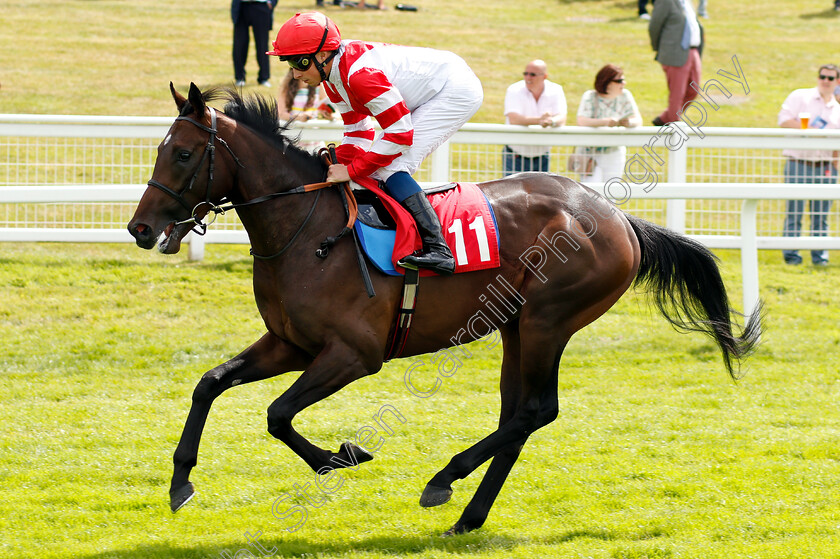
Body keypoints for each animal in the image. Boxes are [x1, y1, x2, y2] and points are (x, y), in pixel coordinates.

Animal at [124, 84, 760, 540]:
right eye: (160, 149)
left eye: (183, 153)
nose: (140, 228)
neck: (307, 232)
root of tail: (617, 217)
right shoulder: (290, 344)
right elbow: (210, 384)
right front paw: (180, 482)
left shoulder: (353, 355)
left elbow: (278, 414)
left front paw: (340, 456)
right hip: (515, 327)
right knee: (518, 417)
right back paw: (468, 515)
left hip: (548, 320)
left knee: (537, 411)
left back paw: (442, 480)